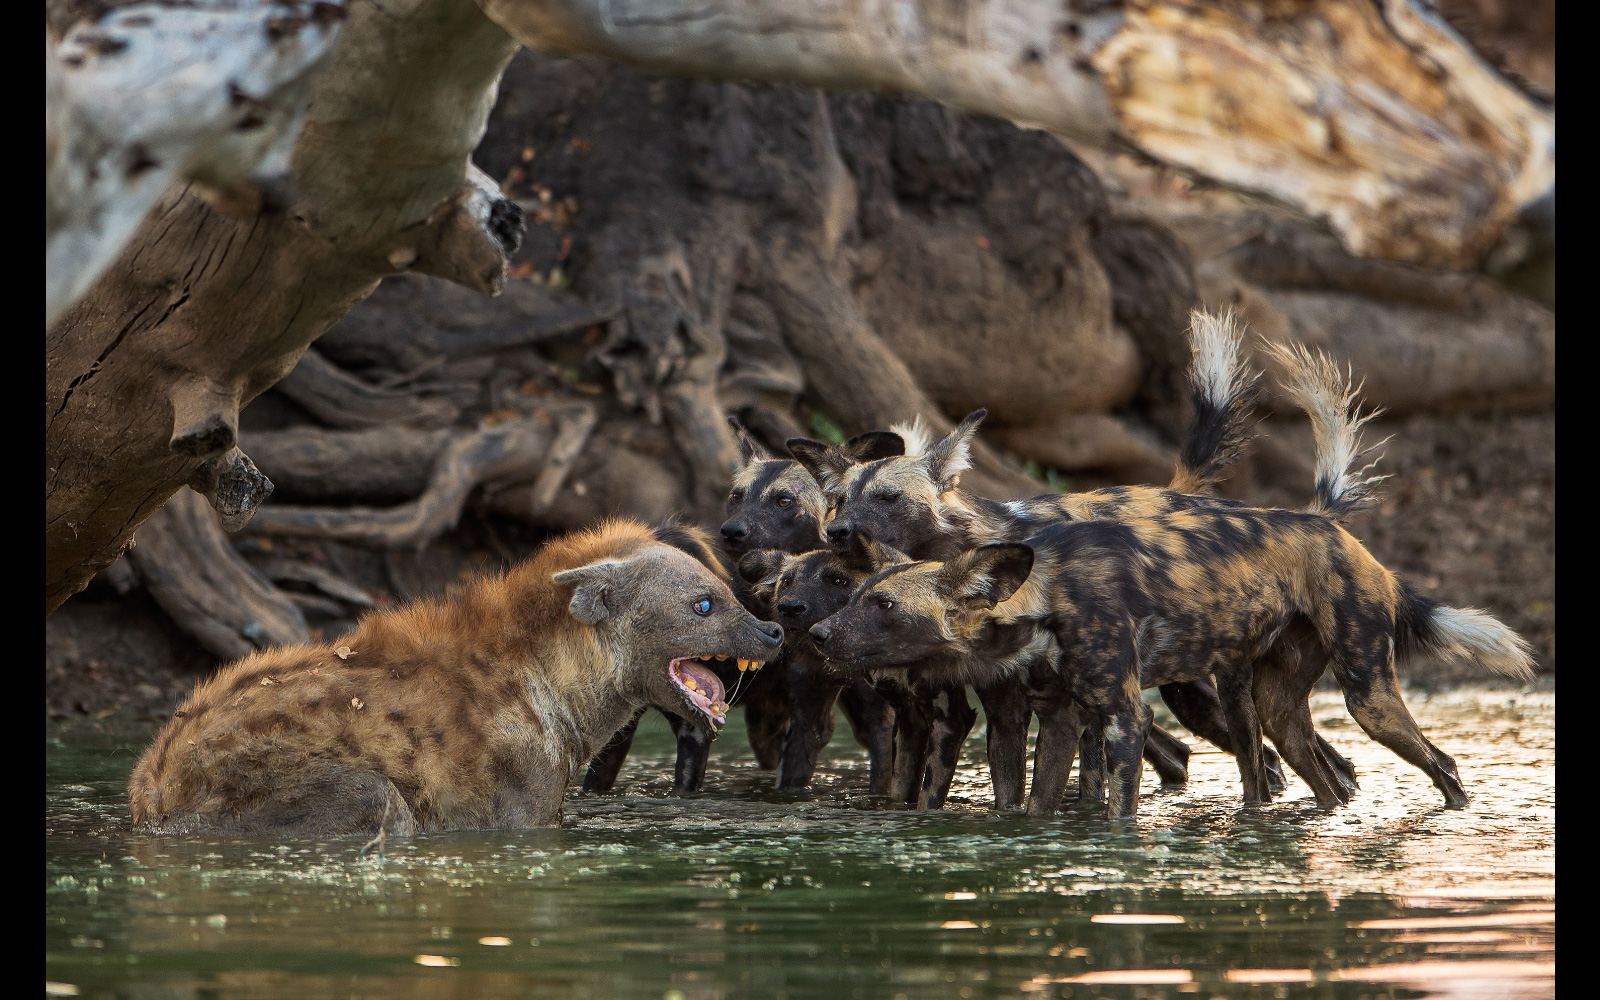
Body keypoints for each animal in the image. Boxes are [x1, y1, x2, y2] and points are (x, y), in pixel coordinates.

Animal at [126, 515, 780, 832]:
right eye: (703, 605)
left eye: (729, 594)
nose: (772, 631)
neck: (554, 688)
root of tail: (151, 786)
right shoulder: (516, 807)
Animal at [812, 512, 1536, 816]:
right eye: (853, 595)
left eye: (882, 605)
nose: (815, 634)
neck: (1044, 600)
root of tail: (1361, 548)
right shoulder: (1054, 721)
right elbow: (1031, 806)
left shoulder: (1122, 720)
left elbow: (1120, 811)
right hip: (1271, 710)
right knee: (1320, 782)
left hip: (1368, 699)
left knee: (1444, 764)